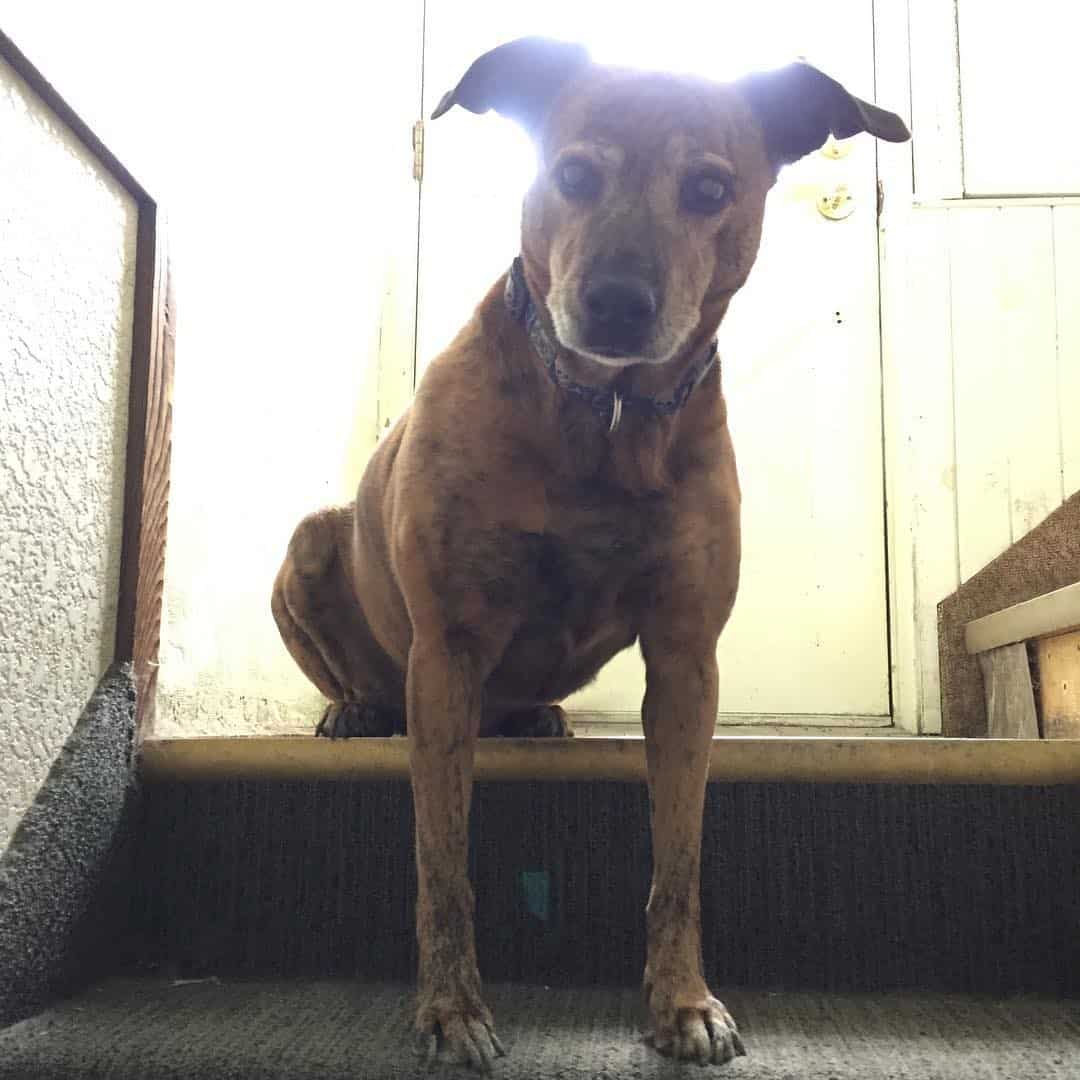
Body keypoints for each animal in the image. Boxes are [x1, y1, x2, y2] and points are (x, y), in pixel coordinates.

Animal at [274, 38, 907, 1067]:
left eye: (709, 188)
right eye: (572, 175)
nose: (616, 302)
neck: (603, 411)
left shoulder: (687, 661)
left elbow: (678, 859)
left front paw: (683, 1003)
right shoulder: (446, 653)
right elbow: (443, 862)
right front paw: (451, 1008)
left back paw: (540, 718)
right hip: (310, 545)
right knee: (351, 673)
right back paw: (352, 710)